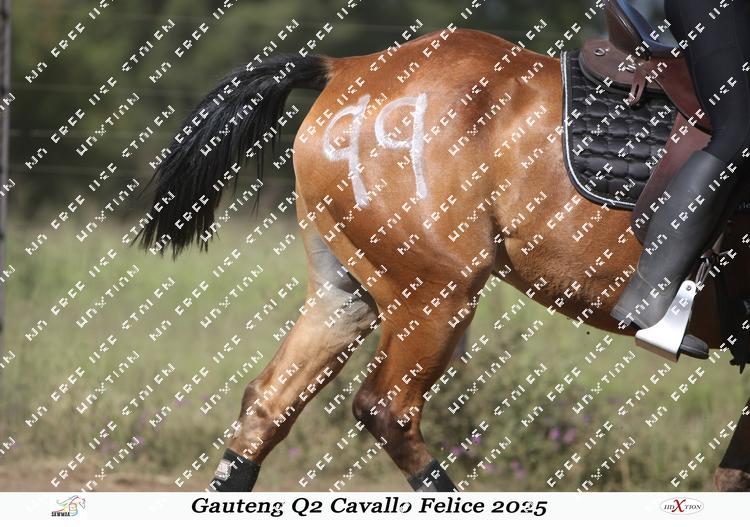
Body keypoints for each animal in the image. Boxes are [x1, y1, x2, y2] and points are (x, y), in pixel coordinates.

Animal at [135, 27, 750, 491]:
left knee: (266, 407)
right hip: (436, 292)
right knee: (386, 410)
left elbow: (731, 474)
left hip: (347, 295)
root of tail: (349, 66)